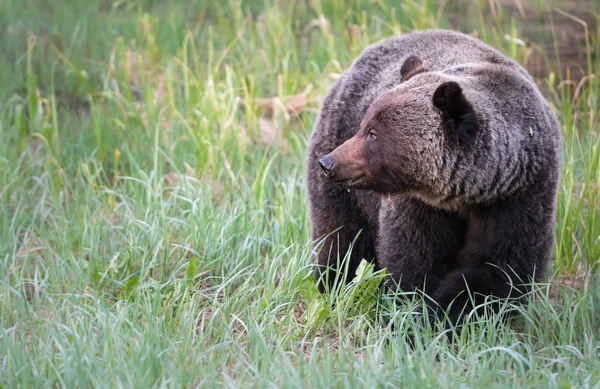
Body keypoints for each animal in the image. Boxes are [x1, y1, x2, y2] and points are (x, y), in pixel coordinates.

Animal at [308, 30, 560, 326]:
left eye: (373, 134)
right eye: (364, 126)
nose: (329, 163)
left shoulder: (520, 197)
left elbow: (499, 268)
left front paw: (446, 312)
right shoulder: (421, 205)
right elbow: (416, 260)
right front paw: (415, 312)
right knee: (340, 235)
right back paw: (333, 284)